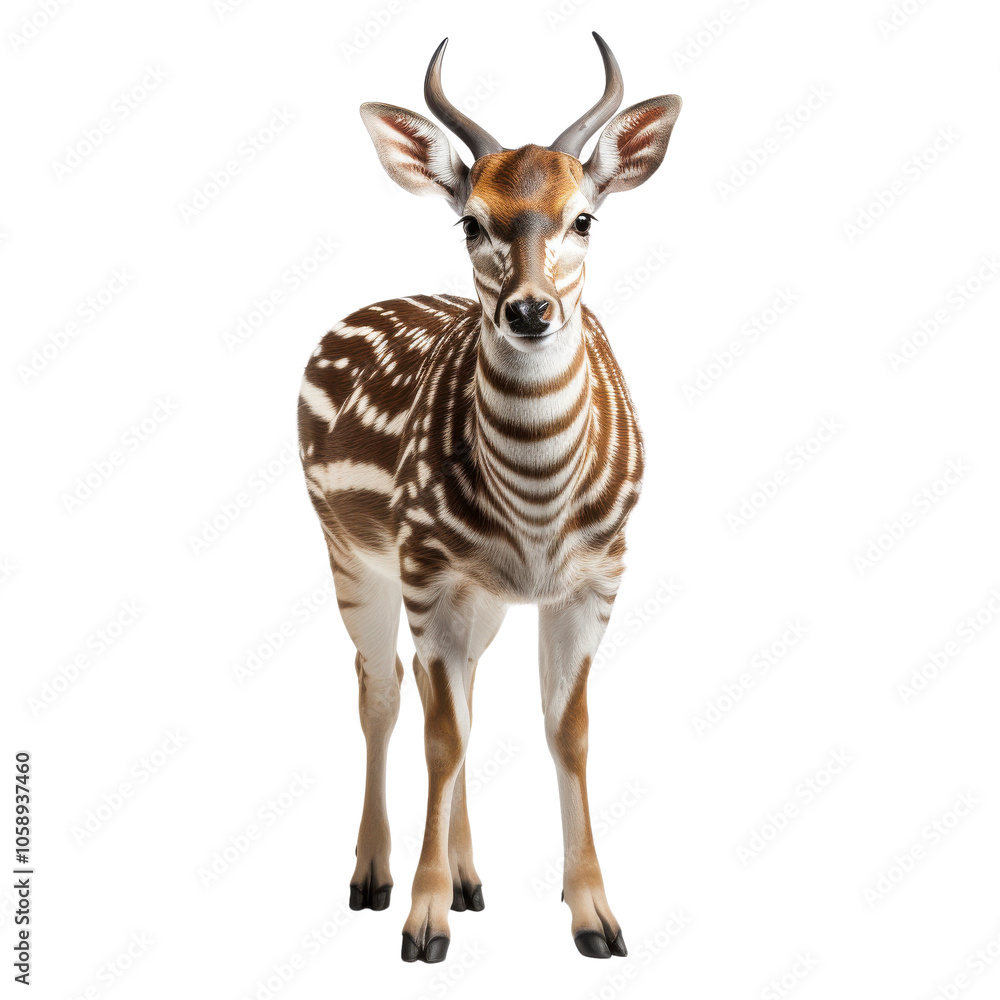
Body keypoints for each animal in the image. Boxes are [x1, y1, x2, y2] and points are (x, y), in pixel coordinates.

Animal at [297, 33, 681, 963]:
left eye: (585, 217)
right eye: (471, 219)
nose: (530, 311)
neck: (537, 515)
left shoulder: (598, 574)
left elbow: (565, 729)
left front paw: (596, 917)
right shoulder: (427, 566)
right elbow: (439, 733)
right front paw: (421, 923)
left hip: (481, 596)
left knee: (460, 685)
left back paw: (472, 880)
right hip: (347, 548)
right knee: (384, 689)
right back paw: (374, 875)